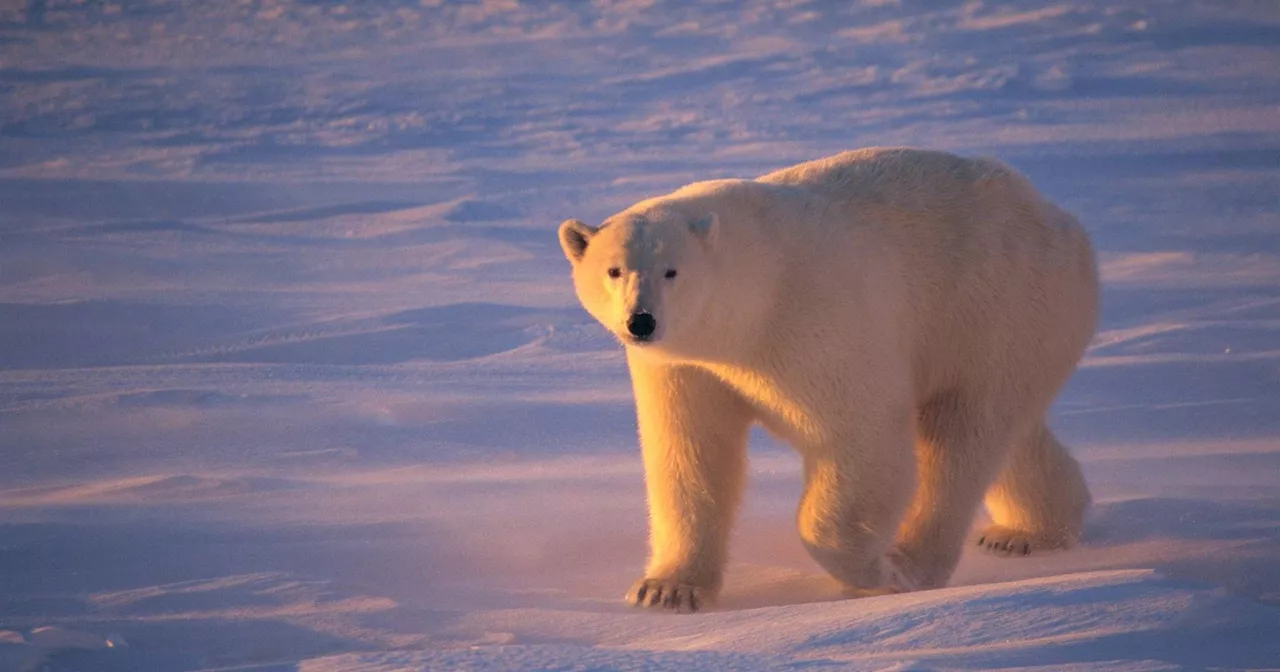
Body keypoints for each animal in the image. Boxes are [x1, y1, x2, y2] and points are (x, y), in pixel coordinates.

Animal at [555, 147, 1095, 611]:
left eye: (671, 271)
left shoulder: (814, 322)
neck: (754, 293)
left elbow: (860, 434)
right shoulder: (685, 367)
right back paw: (1028, 532)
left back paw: (912, 563)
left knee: (961, 437)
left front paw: (872, 570)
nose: (641, 322)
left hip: (997, 302)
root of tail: (1064, 221)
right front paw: (666, 590)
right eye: (614, 270)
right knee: (1010, 430)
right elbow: (689, 453)